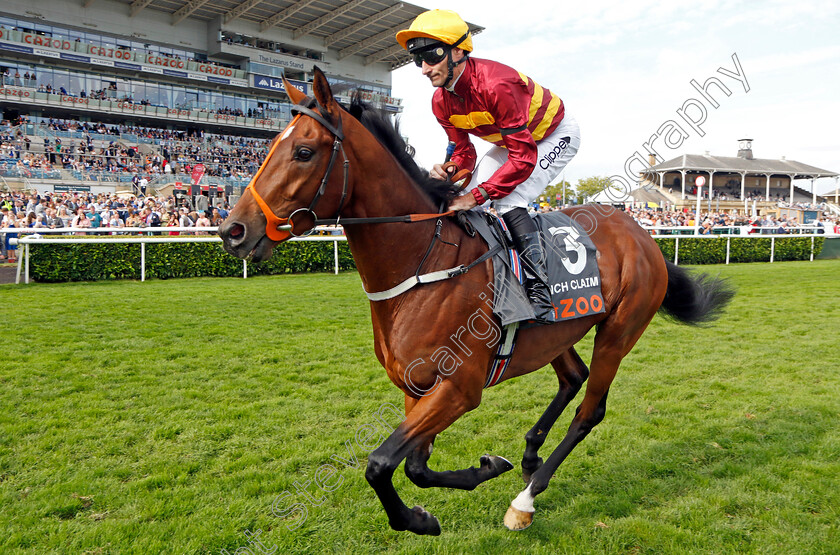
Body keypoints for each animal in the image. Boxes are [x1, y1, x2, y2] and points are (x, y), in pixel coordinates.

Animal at [218, 67, 736, 536]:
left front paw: (418, 519)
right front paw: (484, 469)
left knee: (590, 410)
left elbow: (379, 461)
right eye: (268, 147)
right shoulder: (416, 389)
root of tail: (640, 232)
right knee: (572, 377)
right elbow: (415, 467)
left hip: (620, 330)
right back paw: (529, 454)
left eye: (304, 152)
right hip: (556, 333)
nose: (232, 230)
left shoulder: (459, 388)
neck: (422, 265)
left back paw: (525, 500)